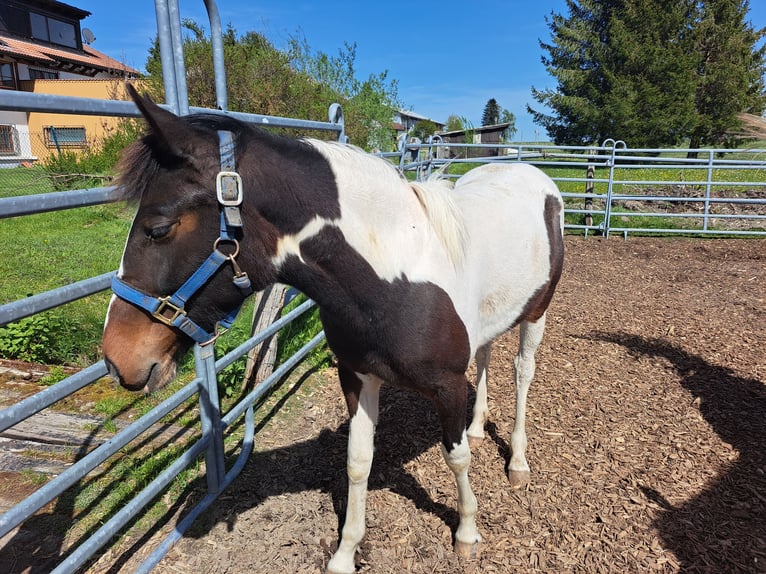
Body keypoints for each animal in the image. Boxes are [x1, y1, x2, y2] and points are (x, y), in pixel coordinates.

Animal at [103, 86, 564, 574]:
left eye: (158, 228)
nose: (116, 358)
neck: (395, 275)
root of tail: (536, 176)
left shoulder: (447, 386)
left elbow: (456, 457)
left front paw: (468, 533)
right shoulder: (357, 376)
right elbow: (358, 461)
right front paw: (345, 553)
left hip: (537, 313)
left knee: (522, 372)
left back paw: (517, 461)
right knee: (487, 355)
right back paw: (478, 426)